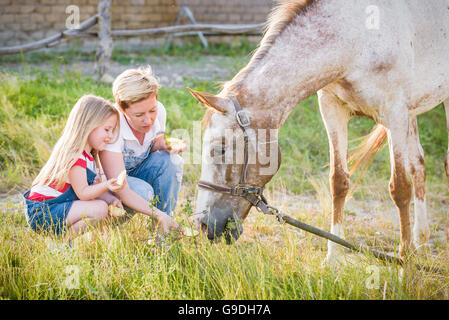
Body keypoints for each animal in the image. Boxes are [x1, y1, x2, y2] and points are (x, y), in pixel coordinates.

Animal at [187, 0, 448, 264]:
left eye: (219, 149)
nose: (203, 224)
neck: (357, 39)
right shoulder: (333, 109)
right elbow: (339, 182)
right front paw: (332, 260)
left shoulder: (394, 114)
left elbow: (400, 188)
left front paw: (405, 262)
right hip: (412, 113)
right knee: (419, 165)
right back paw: (421, 239)